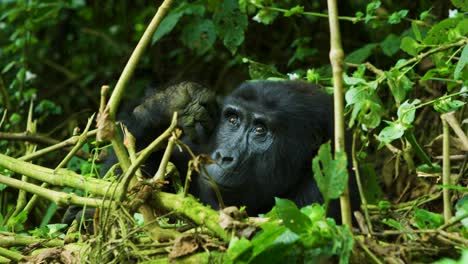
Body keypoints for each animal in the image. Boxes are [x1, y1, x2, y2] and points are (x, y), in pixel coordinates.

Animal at [117, 80, 358, 219]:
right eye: (233, 119)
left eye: (260, 130)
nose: (223, 157)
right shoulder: (199, 140)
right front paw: (175, 101)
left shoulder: (328, 185)